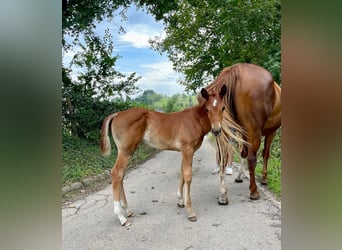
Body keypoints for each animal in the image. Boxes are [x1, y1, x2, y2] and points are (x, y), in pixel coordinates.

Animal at [99, 85, 227, 226]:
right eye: (207, 109)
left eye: (223, 108)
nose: (216, 130)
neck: (195, 120)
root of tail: (118, 114)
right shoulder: (187, 149)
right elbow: (188, 176)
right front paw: (190, 211)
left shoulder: (184, 151)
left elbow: (182, 173)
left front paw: (180, 201)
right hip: (126, 151)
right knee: (116, 173)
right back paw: (121, 217)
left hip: (125, 152)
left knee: (121, 175)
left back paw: (128, 210)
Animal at [199, 62, 282, 203]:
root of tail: (236, 70)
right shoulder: (271, 132)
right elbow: (265, 153)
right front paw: (264, 178)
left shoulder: (242, 132)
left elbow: (243, 152)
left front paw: (240, 176)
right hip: (254, 132)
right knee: (252, 159)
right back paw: (254, 191)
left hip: (223, 131)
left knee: (223, 156)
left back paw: (223, 194)